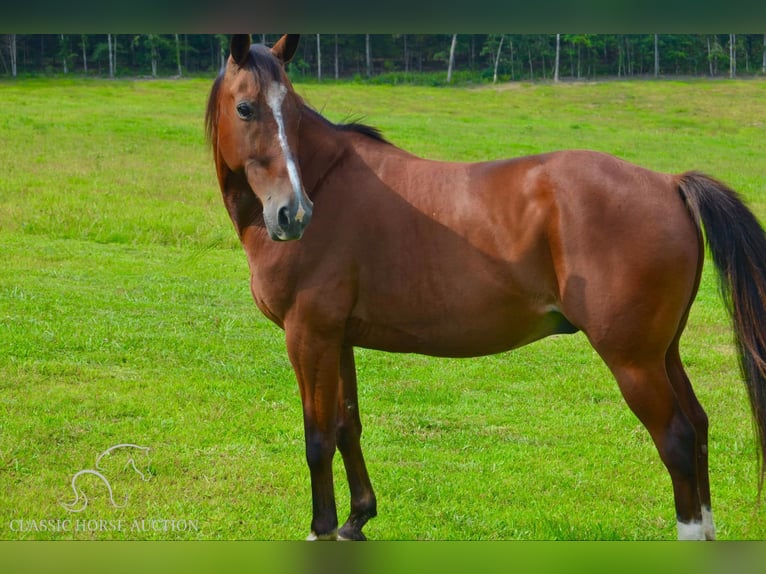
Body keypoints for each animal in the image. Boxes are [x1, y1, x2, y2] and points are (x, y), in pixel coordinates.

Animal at [206, 35, 766, 540]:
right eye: (246, 108)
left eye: (293, 112)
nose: (294, 214)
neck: (325, 182)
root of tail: (669, 182)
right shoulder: (336, 338)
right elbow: (347, 426)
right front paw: (356, 520)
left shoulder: (308, 335)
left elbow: (317, 437)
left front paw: (322, 529)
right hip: (662, 353)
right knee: (698, 427)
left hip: (633, 361)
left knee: (676, 439)